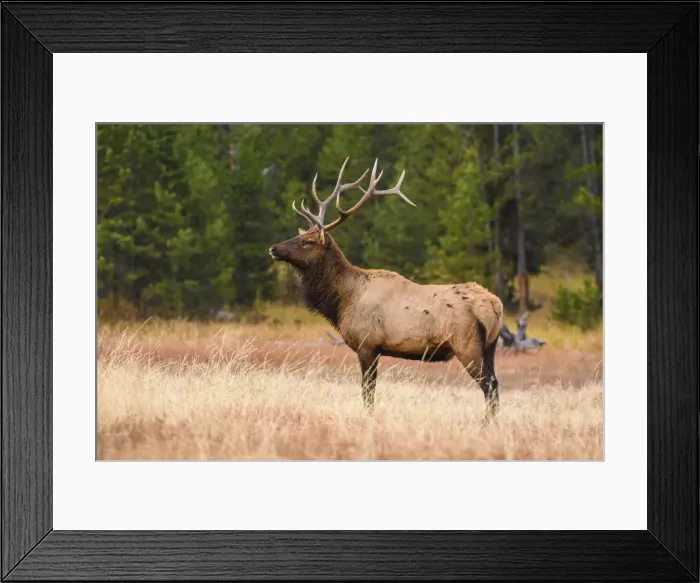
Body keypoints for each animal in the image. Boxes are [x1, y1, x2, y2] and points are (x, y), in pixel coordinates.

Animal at [268, 158, 504, 419]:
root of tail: (495, 306)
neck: (342, 301)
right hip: (491, 347)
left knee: (490, 385)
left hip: (467, 344)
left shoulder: (367, 344)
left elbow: (367, 391)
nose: (274, 248)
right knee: (495, 383)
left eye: (308, 241)